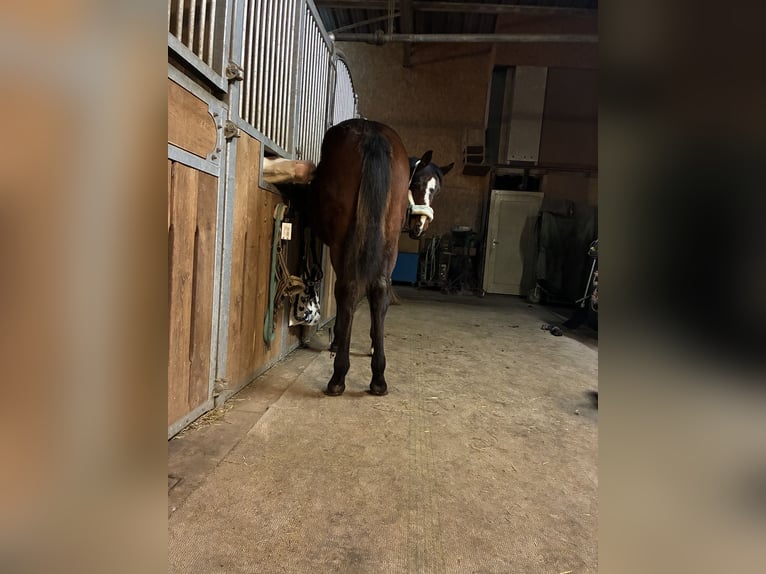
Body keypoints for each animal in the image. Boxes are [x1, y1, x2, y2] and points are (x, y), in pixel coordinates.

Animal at [309, 118, 453, 396]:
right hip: (388, 241)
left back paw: (339, 376)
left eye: (437, 191)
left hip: (344, 241)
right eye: (417, 185)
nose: (420, 226)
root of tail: (372, 134)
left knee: (349, 289)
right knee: (378, 289)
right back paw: (378, 377)